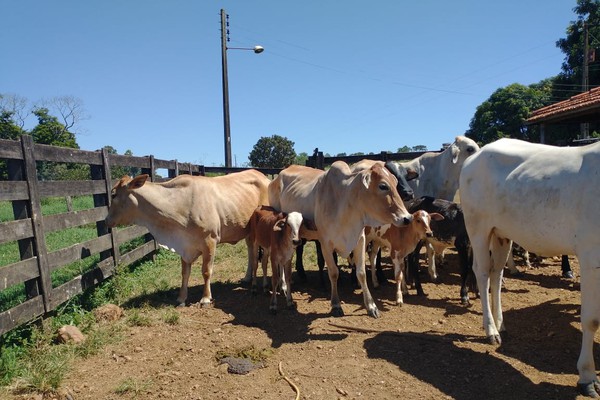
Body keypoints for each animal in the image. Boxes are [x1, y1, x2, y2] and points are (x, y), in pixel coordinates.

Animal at [105, 170, 270, 306]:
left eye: (113, 195)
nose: (106, 220)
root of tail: (263, 177)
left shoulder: (210, 241)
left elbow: (206, 271)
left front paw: (205, 298)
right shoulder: (184, 245)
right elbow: (185, 273)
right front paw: (181, 298)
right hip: (248, 232)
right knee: (251, 251)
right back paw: (247, 277)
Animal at [458, 138, 600, 396]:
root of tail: (476, 155)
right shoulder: (591, 255)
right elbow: (591, 319)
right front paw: (587, 377)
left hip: (501, 233)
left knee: (497, 272)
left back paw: (501, 324)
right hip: (478, 227)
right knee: (482, 273)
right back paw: (491, 330)